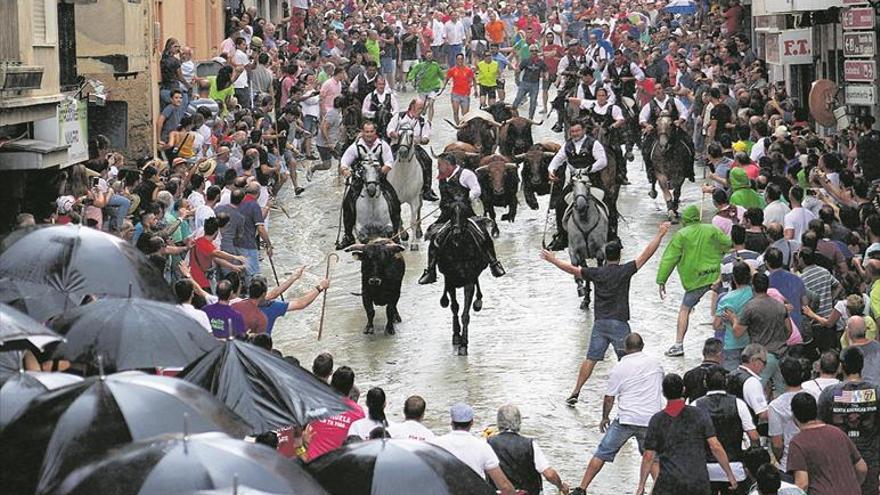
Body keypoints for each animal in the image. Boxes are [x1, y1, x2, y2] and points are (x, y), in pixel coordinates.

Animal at [434, 198, 488, 356]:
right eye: (451, 212)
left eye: (464, 212)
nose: (457, 233)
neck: (459, 250)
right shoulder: (450, 280)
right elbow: (455, 307)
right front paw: (457, 336)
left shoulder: (469, 281)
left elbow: (465, 313)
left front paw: (464, 345)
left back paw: (478, 301)